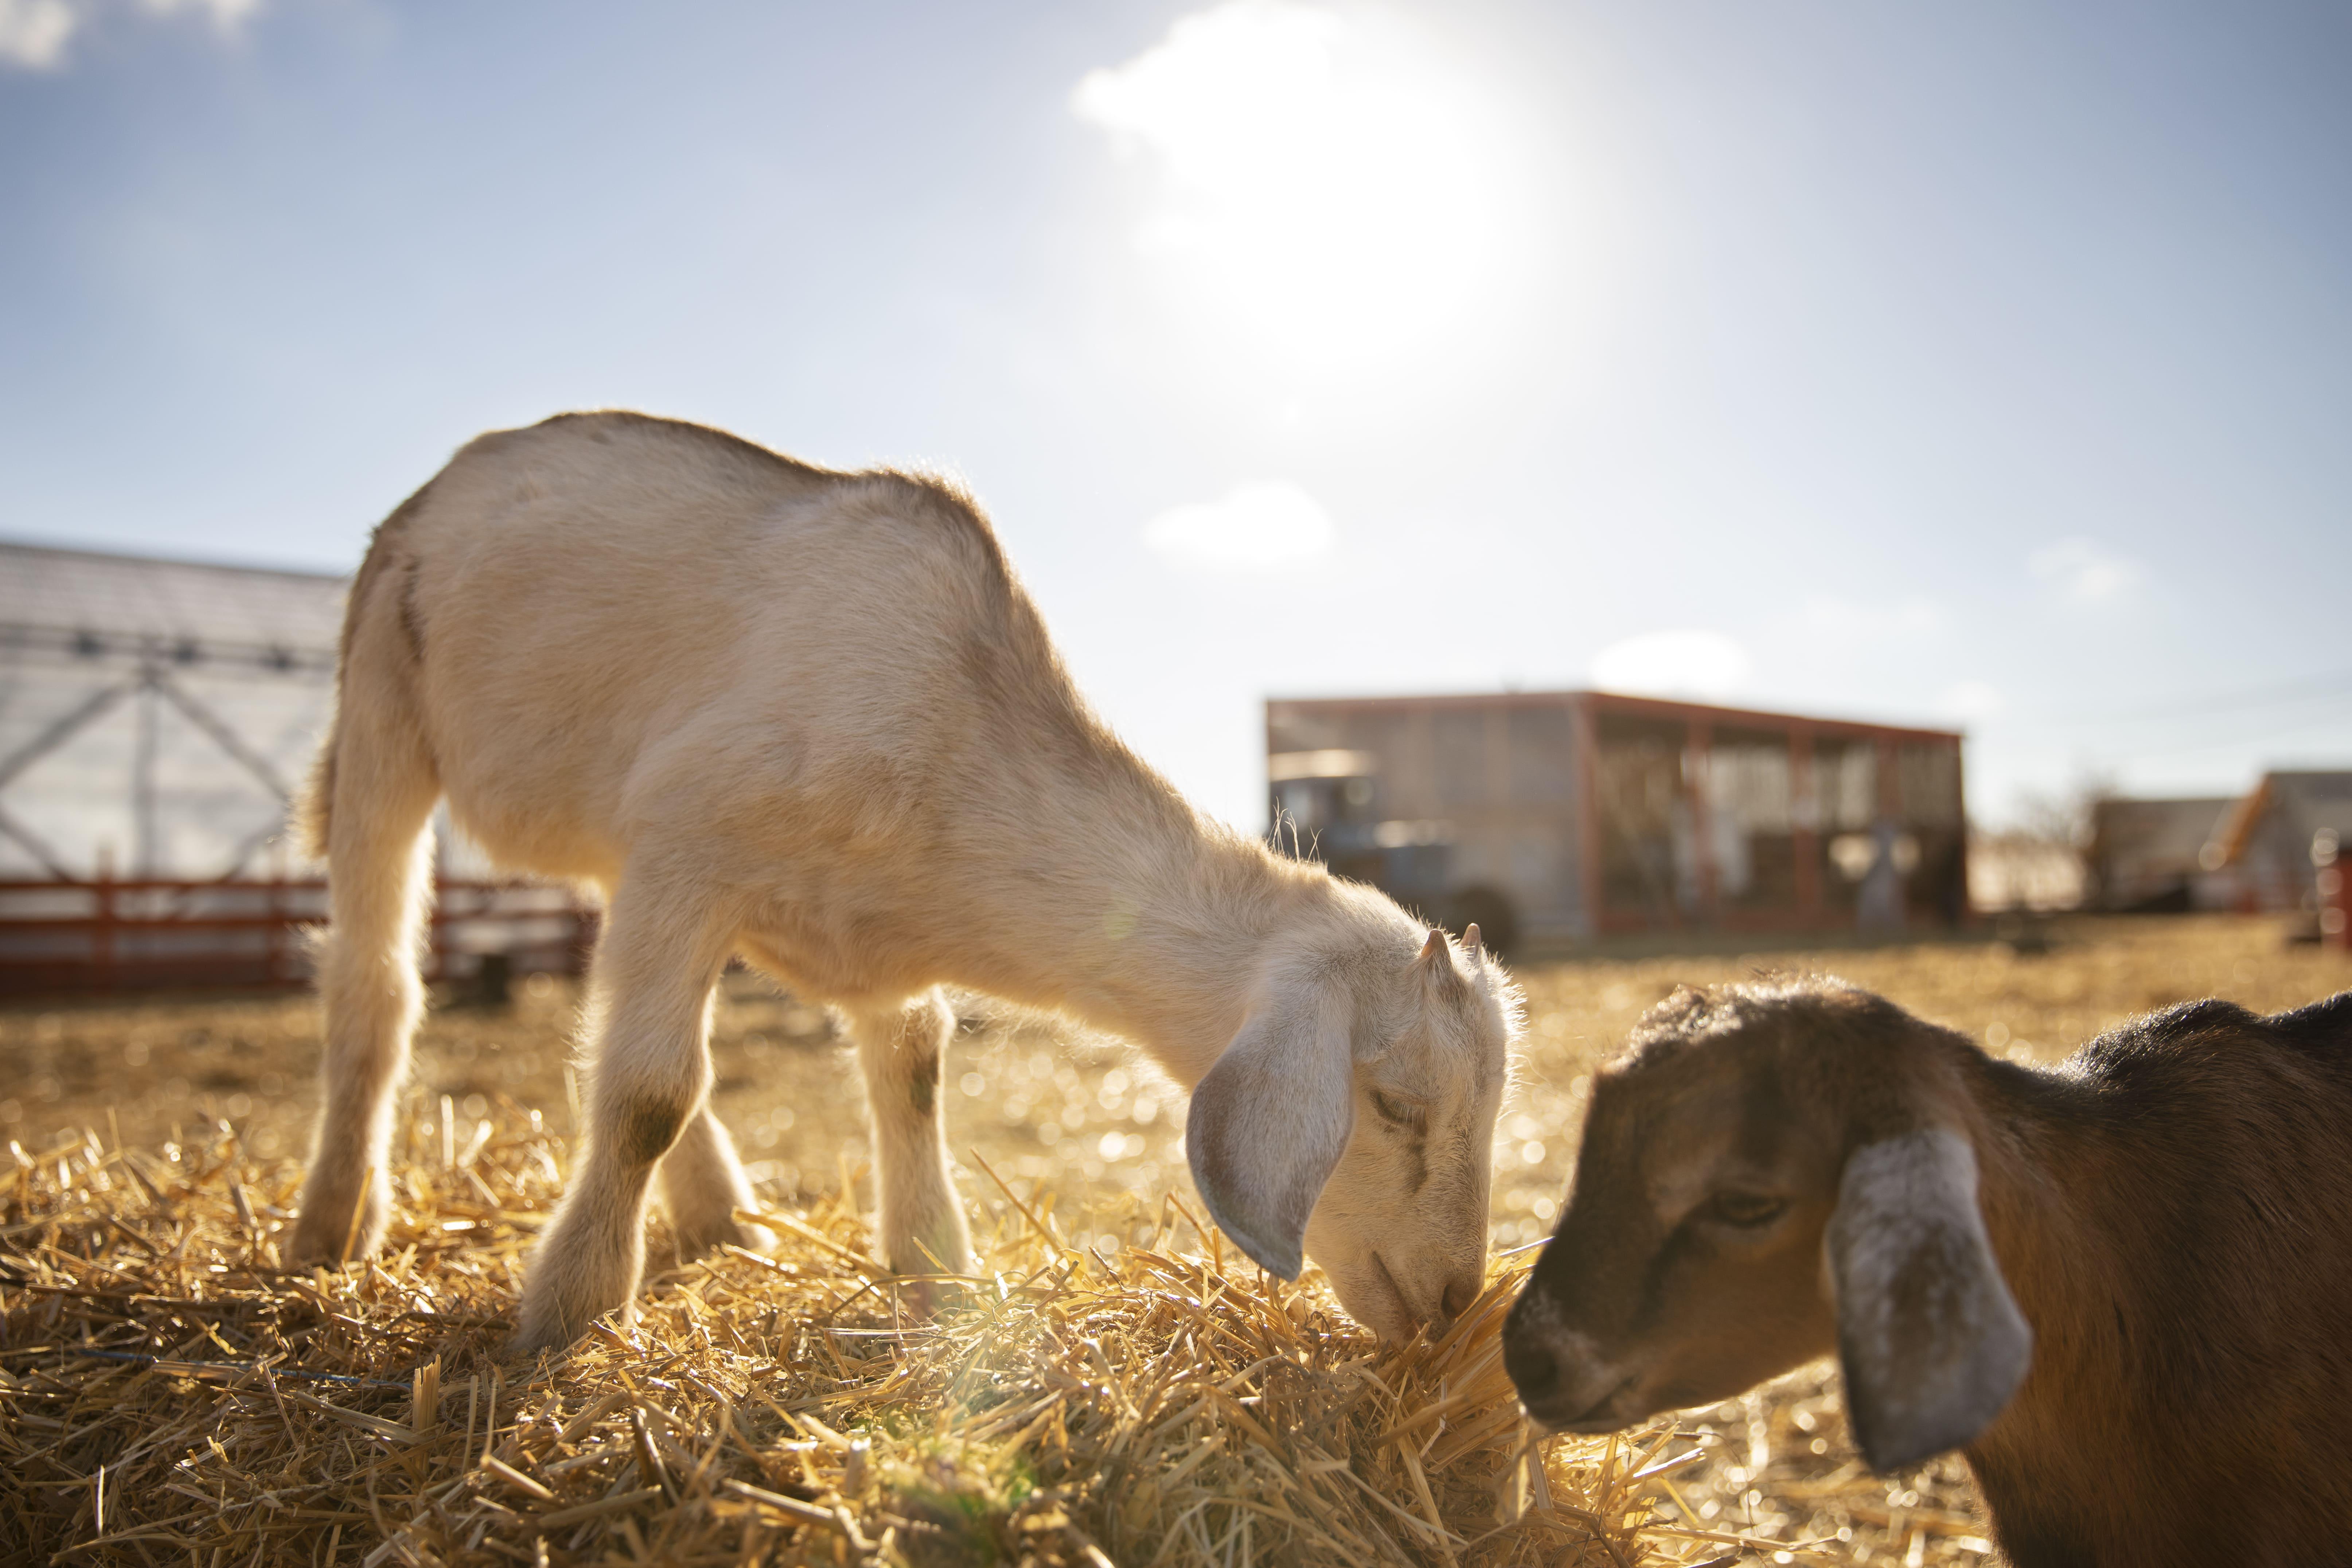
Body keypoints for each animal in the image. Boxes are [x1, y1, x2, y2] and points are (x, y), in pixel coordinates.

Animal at [289, 414, 1524, 1354]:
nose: (1453, 1299)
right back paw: (329, 1227)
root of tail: (449, 479)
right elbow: (646, 1091)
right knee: (378, 983)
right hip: (384, 698)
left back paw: (723, 1217)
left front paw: (937, 1271)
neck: (955, 740)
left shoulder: (842, 928)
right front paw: (569, 1308)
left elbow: (912, 1071)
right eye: (1394, 1105)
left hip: (610, 838)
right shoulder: (690, 842)